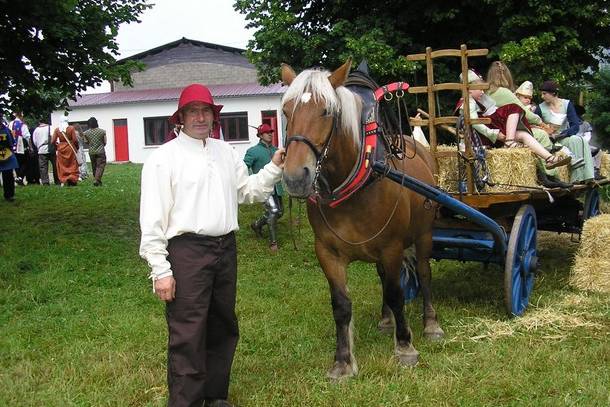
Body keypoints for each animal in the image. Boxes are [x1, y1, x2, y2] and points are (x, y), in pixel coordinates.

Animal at [280, 59, 442, 380]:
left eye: (326, 111)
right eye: (286, 111)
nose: (295, 177)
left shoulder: (392, 247)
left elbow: (396, 292)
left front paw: (405, 346)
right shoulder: (327, 252)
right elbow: (341, 305)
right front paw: (343, 361)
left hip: (423, 235)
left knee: (424, 273)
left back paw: (430, 323)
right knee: (383, 277)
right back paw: (386, 320)